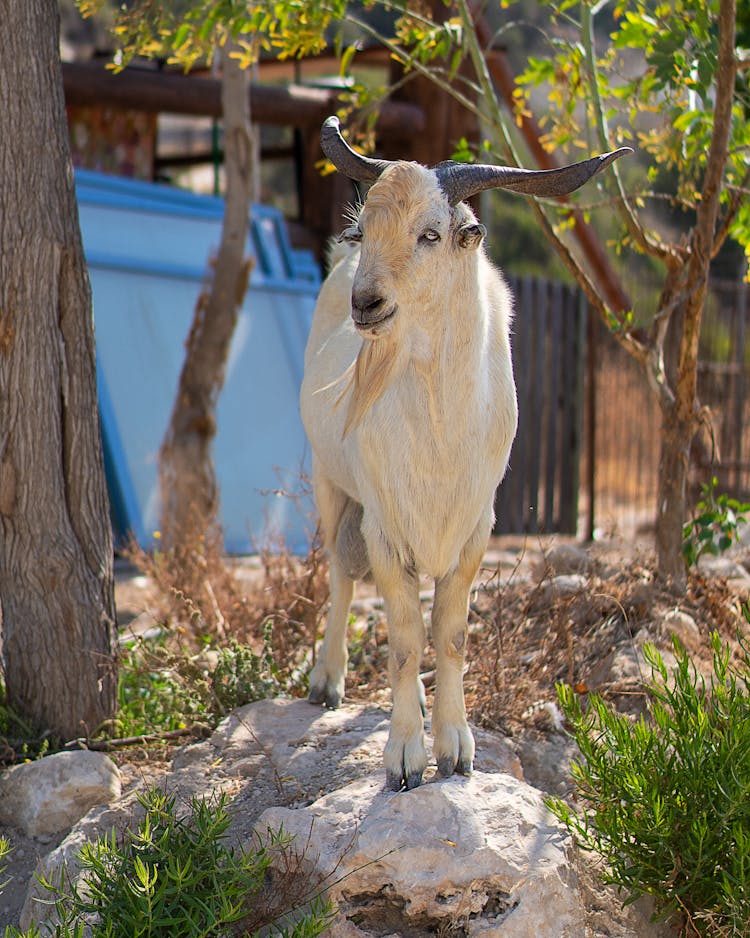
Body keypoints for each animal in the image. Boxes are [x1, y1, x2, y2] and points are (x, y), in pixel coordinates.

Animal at [302, 117, 632, 788]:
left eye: (430, 234)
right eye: (366, 228)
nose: (366, 304)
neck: (440, 424)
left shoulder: (475, 527)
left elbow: (450, 634)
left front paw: (455, 749)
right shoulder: (387, 527)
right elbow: (405, 639)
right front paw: (405, 755)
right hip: (331, 481)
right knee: (341, 574)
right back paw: (327, 680)